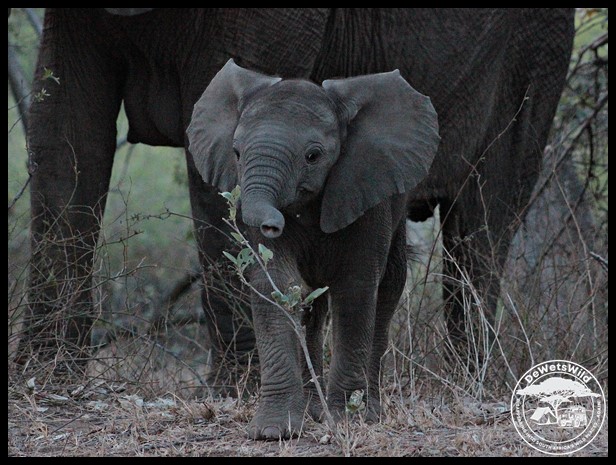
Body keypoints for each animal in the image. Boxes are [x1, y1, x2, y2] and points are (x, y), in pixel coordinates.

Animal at [19, 9, 575, 389]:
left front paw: (236, 390)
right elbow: (64, 131)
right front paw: (46, 375)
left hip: (534, 50)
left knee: (483, 219)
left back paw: (469, 380)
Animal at [186, 59, 440, 439]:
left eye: (313, 156)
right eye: (236, 153)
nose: (271, 224)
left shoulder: (364, 191)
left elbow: (355, 288)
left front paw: (345, 420)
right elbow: (275, 284)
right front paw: (274, 431)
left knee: (388, 287)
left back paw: (368, 411)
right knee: (313, 307)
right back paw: (312, 409)